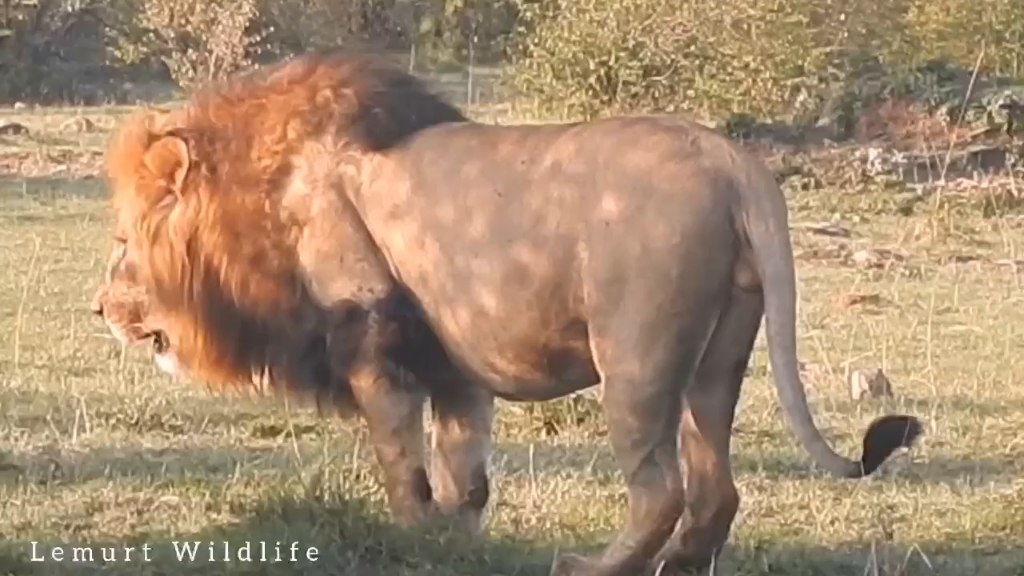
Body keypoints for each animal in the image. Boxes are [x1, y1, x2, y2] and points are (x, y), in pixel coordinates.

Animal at [92, 51, 925, 569]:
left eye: (122, 239)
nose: (100, 307)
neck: (259, 197)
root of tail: (733, 162)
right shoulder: (452, 358)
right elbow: (466, 472)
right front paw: (458, 546)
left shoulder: (372, 338)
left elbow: (402, 460)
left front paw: (414, 538)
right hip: (720, 354)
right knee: (715, 487)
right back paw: (680, 564)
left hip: (636, 354)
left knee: (660, 488)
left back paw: (591, 566)